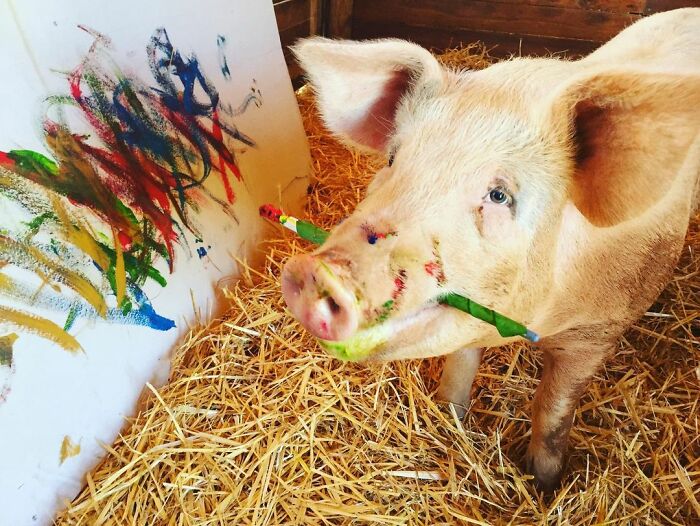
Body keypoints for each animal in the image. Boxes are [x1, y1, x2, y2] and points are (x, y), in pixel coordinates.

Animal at [281, 8, 700, 491]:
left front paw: (543, 482)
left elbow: (552, 408)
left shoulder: (597, 332)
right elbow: (459, 367)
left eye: (499, 195)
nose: (315, 272)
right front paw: (449, 420)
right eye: (393, 159)